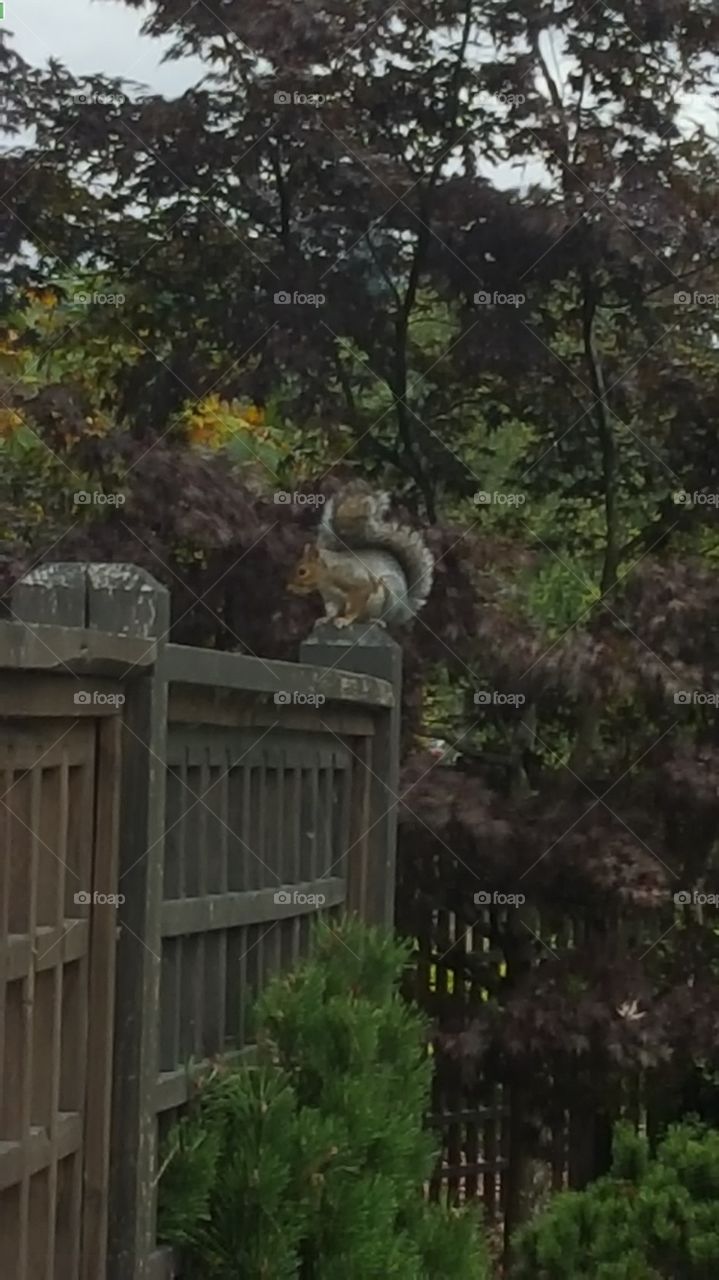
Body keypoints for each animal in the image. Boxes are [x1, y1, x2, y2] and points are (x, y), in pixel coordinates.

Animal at [287, 481, 434, 627]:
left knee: (380, 617)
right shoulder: (331, 597)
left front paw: (344, 620)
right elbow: (331, 611)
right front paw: (325, 619)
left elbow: (356, 603)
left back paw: (376, 620)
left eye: (302, 571)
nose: (290, 587)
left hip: (389, 595)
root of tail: (403, 611)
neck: (326, 576)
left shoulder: (356, 581)